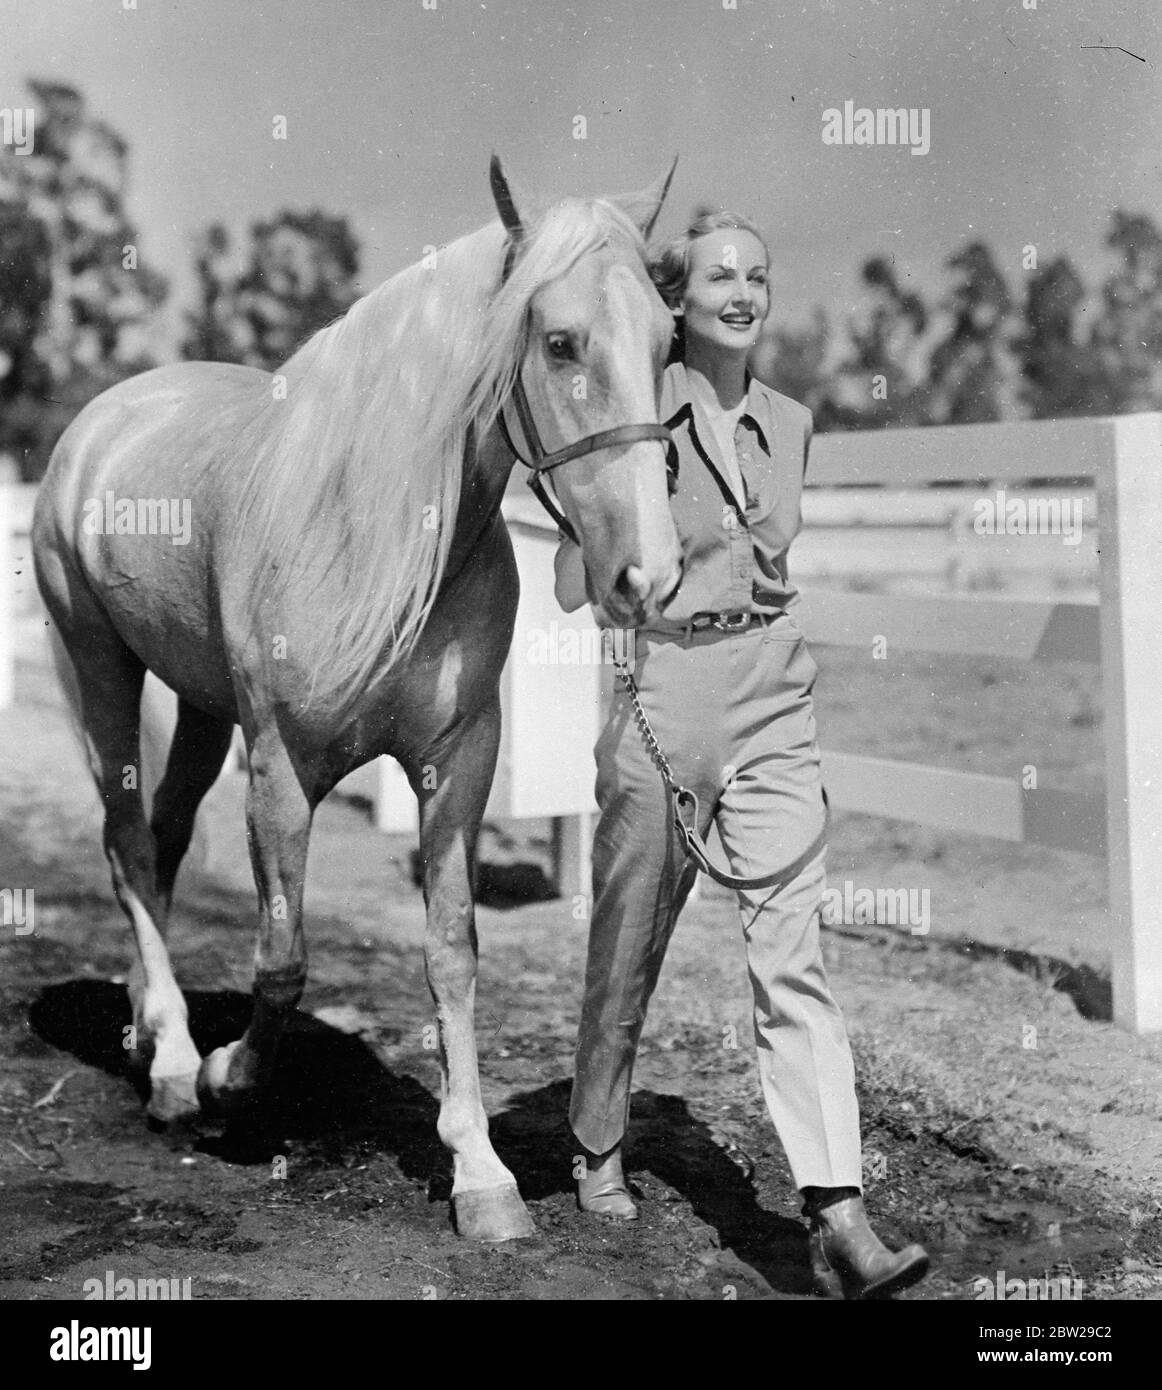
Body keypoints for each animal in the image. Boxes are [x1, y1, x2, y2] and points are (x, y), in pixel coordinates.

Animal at [31, 157, 681, 1245]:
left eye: (670, 341)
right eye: (559, 342)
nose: (650, 575)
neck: (376, 528)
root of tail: (102, 419)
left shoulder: (457, 762)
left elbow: (452, 954)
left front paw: (481, 1174)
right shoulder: (281, 767)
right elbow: (283, 955)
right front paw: (227, 1079)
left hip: (202, 708)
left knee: (161, 839)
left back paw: (145, 1027)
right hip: (101, 668)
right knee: (125, 844)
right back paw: (173, 1066)